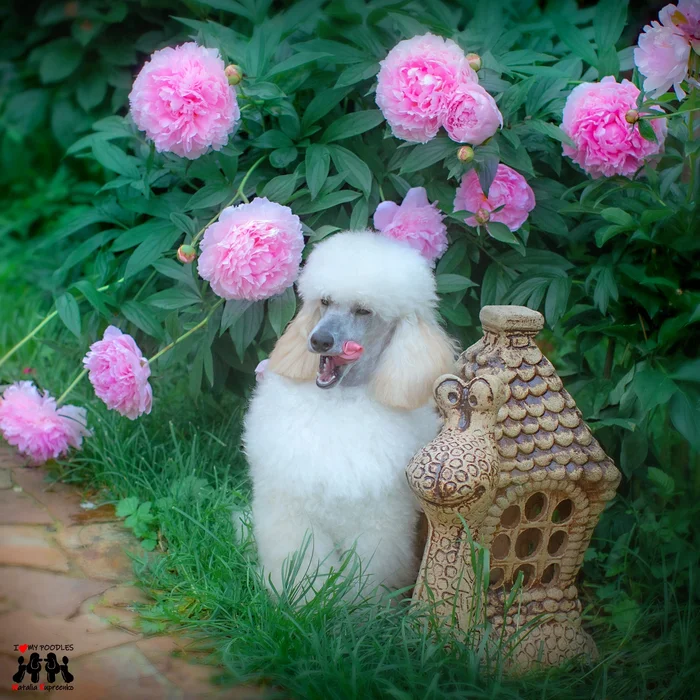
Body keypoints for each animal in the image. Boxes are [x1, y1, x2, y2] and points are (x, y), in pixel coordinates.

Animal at [243, 231, 456, 600]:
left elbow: (365, 574)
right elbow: (302, 563)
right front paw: (301, 601)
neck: (339, 400)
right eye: (325, 301)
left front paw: (354, 607)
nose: (318, 340)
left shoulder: (379, 522)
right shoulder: (293, 509)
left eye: (364, 310)